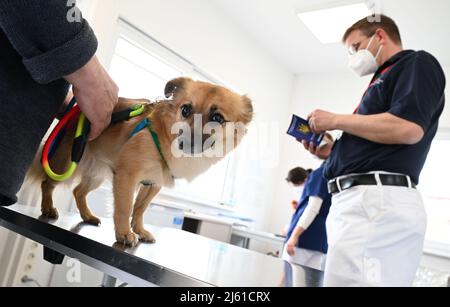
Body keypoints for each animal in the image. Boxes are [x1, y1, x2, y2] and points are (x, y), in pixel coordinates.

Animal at [27, 78, 253, 247]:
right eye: (186, 110)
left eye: (217, 118)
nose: (185, 142)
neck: (164, 137)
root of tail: (75, 113)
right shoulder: (127, 177)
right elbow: (126, 207)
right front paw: (124, 233)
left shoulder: (153, 183)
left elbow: (140, 209)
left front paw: (140, 230)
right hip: (66, 163)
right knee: (48, 184)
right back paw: (48, 208)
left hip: (97, 175)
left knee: (78, 191)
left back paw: (87, 215)